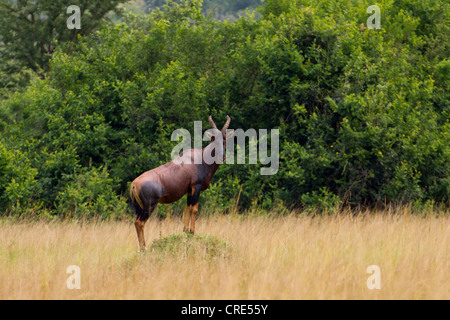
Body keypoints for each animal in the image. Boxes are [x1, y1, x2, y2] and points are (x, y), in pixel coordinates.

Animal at [129, 116, 232, 251]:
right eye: (213, 139)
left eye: (224, 139)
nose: (222, 157)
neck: (200, 158)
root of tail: (134, 184)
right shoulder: (196, 187)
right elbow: (194, 209)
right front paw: (192, 232)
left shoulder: (189, 190)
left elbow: (187, 209)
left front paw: (186, 231)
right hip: (149, 206)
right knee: (140, 223)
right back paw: (144, 248)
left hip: (139, 207)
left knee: (136, 222)